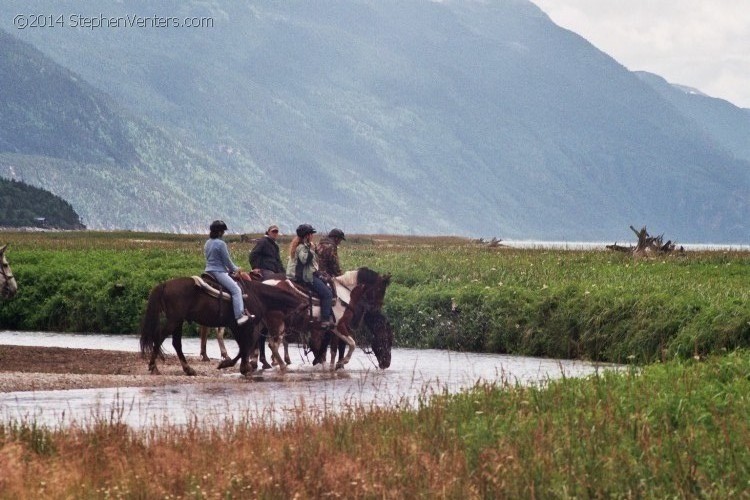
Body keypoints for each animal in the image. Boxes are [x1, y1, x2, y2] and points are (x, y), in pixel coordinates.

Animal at [140, 278, 304, 376]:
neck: (257, 295)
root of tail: (164, 284)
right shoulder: (244, 325)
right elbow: (246, 345)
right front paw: (237, 365)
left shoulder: (239, 326)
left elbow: (245, 346)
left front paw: (238, 365)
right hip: (174, 321)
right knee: (160, 337)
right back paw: (153, 366)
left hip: (178, 322)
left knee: (176, 343)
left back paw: (188, 369)